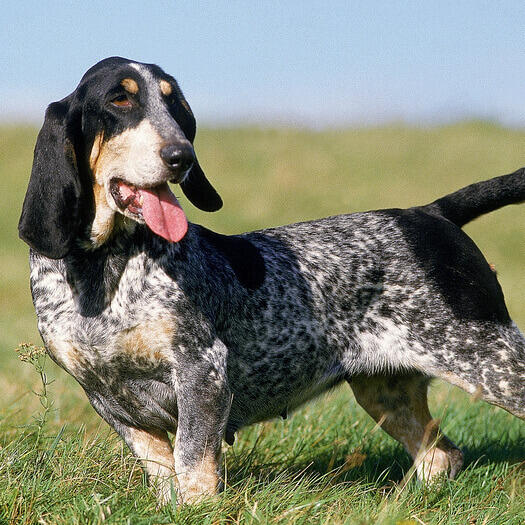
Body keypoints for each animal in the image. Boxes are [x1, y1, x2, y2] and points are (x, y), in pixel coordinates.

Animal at [18, 57, 520, 504]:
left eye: (174, 104)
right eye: (120, 99)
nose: (182, 156)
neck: (104, 268)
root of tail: (432, 213)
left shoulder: (203, 372)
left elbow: (192, 463)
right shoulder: (108, 397)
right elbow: (162, 470)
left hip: (492, 364)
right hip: (385, 389)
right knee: (441, 455)